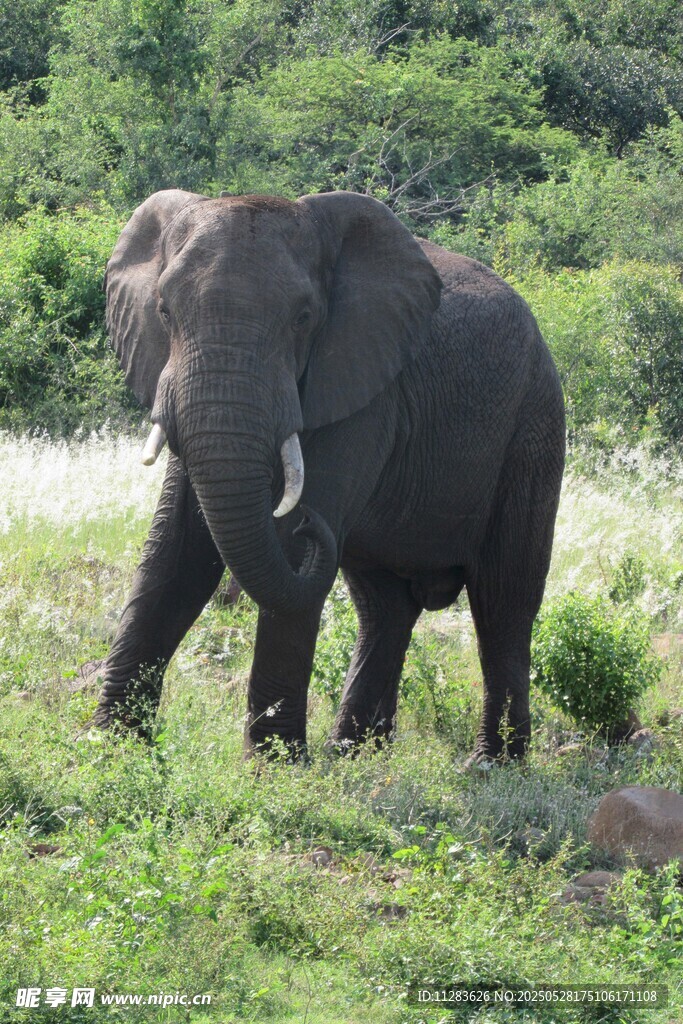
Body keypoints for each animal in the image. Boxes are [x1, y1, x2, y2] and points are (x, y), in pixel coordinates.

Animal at [91, 188, 565, 763]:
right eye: (163, 310)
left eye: (304, 317)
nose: (309, 520)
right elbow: (176, 549)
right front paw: (108, 749)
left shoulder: (366, 393)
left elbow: (285, 554)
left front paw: (273, 768)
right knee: (384, 608)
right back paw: (352, 756)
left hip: (533, 430)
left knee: (504, 600)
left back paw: (490, 764)